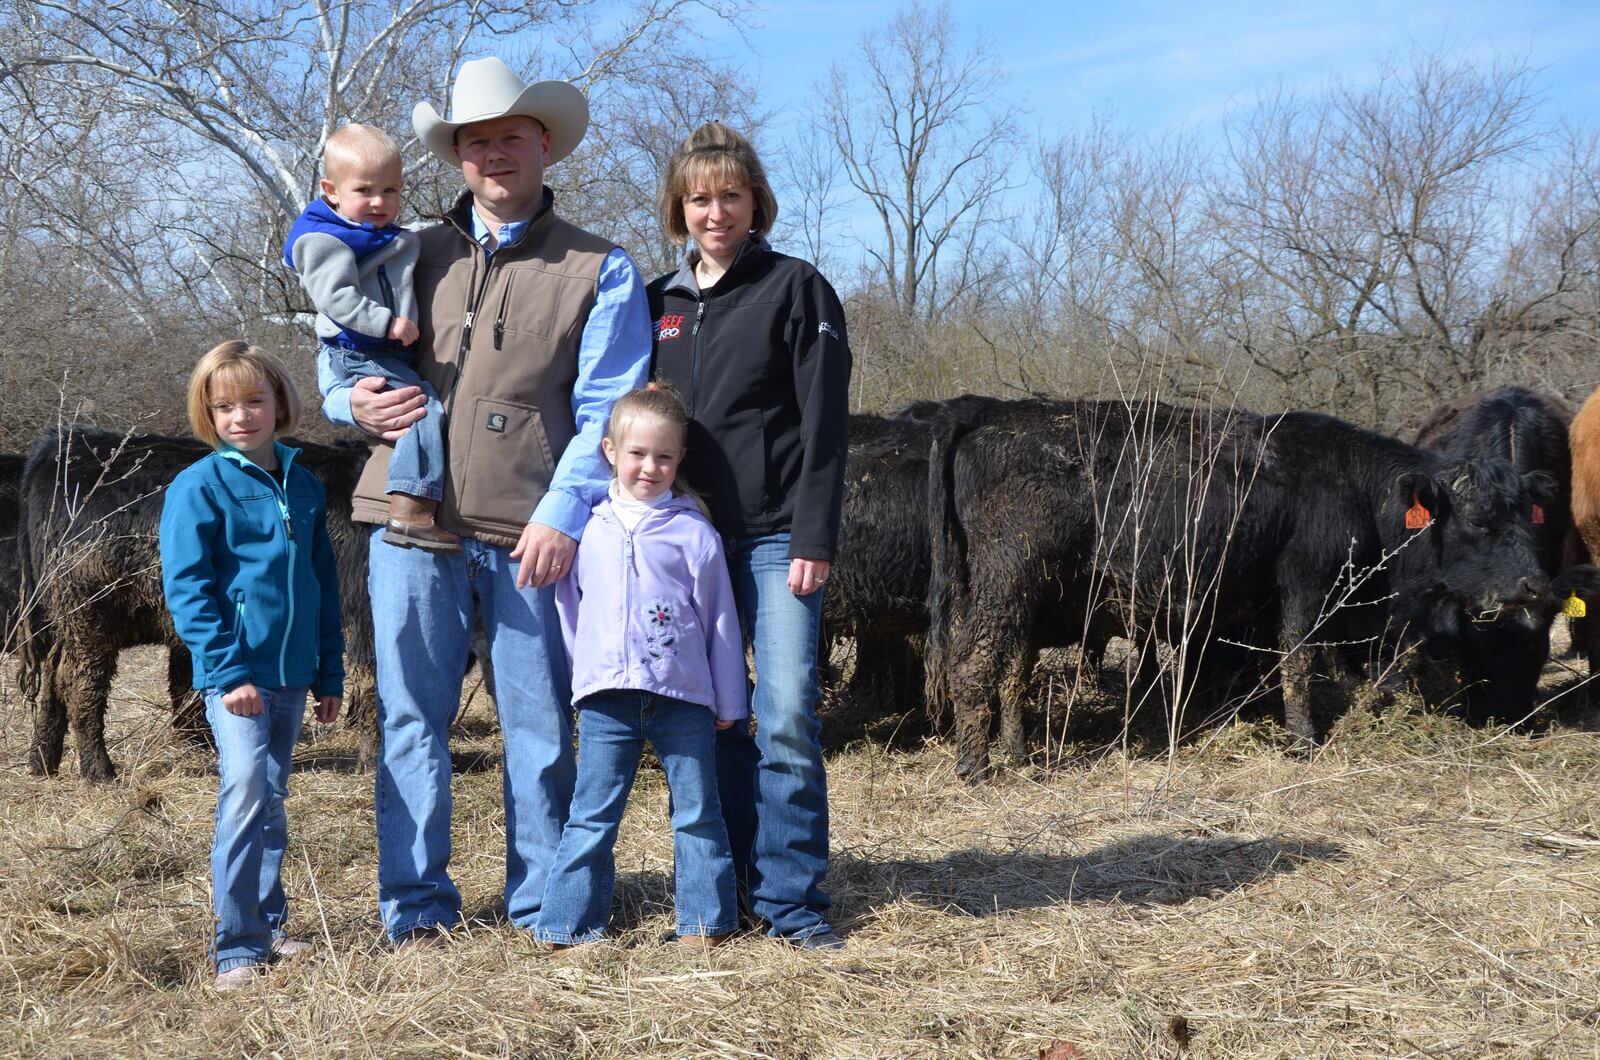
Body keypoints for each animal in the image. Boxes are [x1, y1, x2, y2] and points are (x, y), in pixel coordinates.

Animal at [20, 429, 376, 784]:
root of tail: (62, 444)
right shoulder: (366, 616)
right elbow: (374, 684)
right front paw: (371, 762)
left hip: (65, 620)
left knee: (52, 678)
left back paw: (42, 761)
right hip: (88, 616)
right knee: (78, 683)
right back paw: (98, 769)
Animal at [934, 398, 1555, 781]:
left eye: (1528, 515)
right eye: (1478, 520)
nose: (1536, 583)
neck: (1353, 485)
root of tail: (988, 420)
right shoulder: (1304, 585)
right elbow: (1297, 662)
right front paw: (1302, 740)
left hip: (1021, 599)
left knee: (1011, 673)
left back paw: (1015, 752)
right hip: (1005, 586)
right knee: (972, 666)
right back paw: (976, 767)